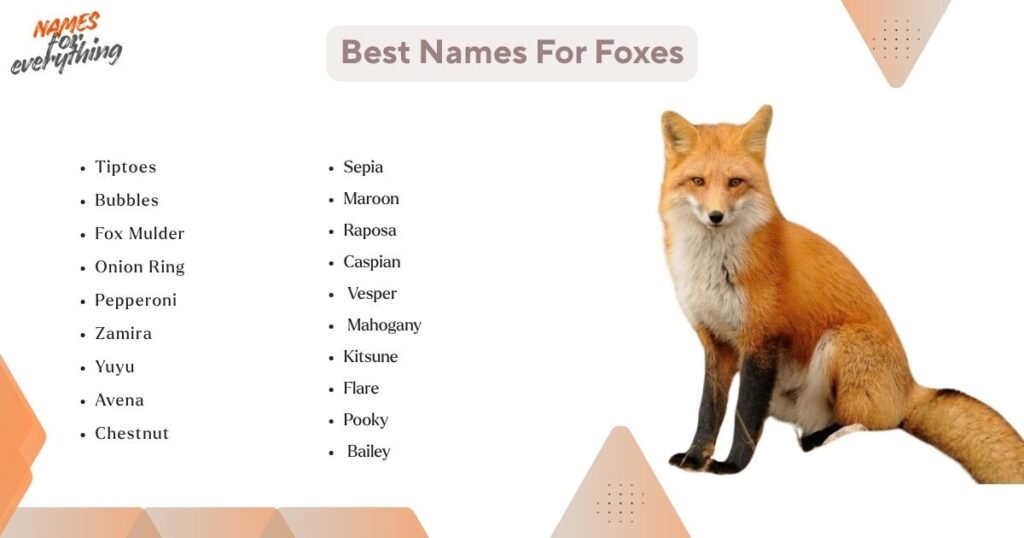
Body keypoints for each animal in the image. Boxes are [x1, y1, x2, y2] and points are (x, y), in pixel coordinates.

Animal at [660, 105, 1024, 483]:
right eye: (698, 181)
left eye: (735, 182)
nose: (715, 216)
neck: (716, 267)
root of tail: (910, 386)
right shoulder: (716, 342)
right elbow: (709, 411)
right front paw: (695, 458)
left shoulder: (761, 340)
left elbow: (744, 416)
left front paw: (730, 467)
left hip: (839, 344)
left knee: (876, 422)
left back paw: (821, 438)